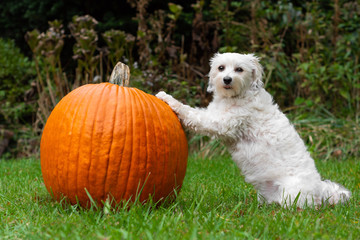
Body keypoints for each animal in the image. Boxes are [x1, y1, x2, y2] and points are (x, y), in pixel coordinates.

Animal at [155, 53, 352, 208]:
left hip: (292, 195)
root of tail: (320, 191)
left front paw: (168, 99)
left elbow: (192, 114)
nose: (227, 79)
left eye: (239, 69)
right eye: (221, 67)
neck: (238, 96)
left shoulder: (220, 123)